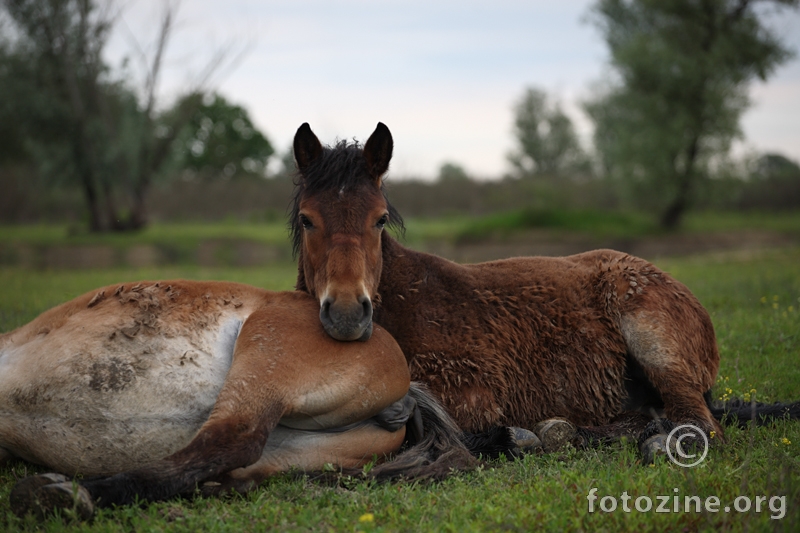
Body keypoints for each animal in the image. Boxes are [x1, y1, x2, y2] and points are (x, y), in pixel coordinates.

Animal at [288, 121, 800, 458]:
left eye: (378, 220)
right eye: (307, 219)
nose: (348, 313)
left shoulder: (475, 390)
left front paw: (513, 436)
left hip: (657, 347)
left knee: (700, 425)